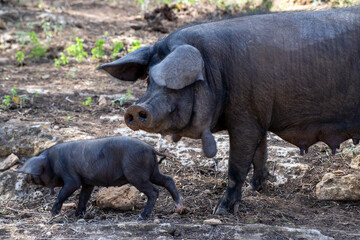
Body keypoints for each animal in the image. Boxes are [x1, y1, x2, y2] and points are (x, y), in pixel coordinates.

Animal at [17, 136, 183, 220]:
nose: (24, 179)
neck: (51, 162)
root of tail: (151, 149)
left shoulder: (72, 179)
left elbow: (63, 194)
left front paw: (53, 214)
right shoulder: (87, 182)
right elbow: (83, 197)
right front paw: (79, 215)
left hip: (136, 174)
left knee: (154, 191)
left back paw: (142, 217)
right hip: (152, 172)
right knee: (168, 179)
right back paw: (179, 206)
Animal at [96, 7, 360, 214]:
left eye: (176, 84)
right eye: (149, 79)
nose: (136, 108)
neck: (215, 72)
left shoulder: (245, 119)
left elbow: (237, 166)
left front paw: (221, 210)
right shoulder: (259, 117)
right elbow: (260, 154)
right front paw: (259, 188)